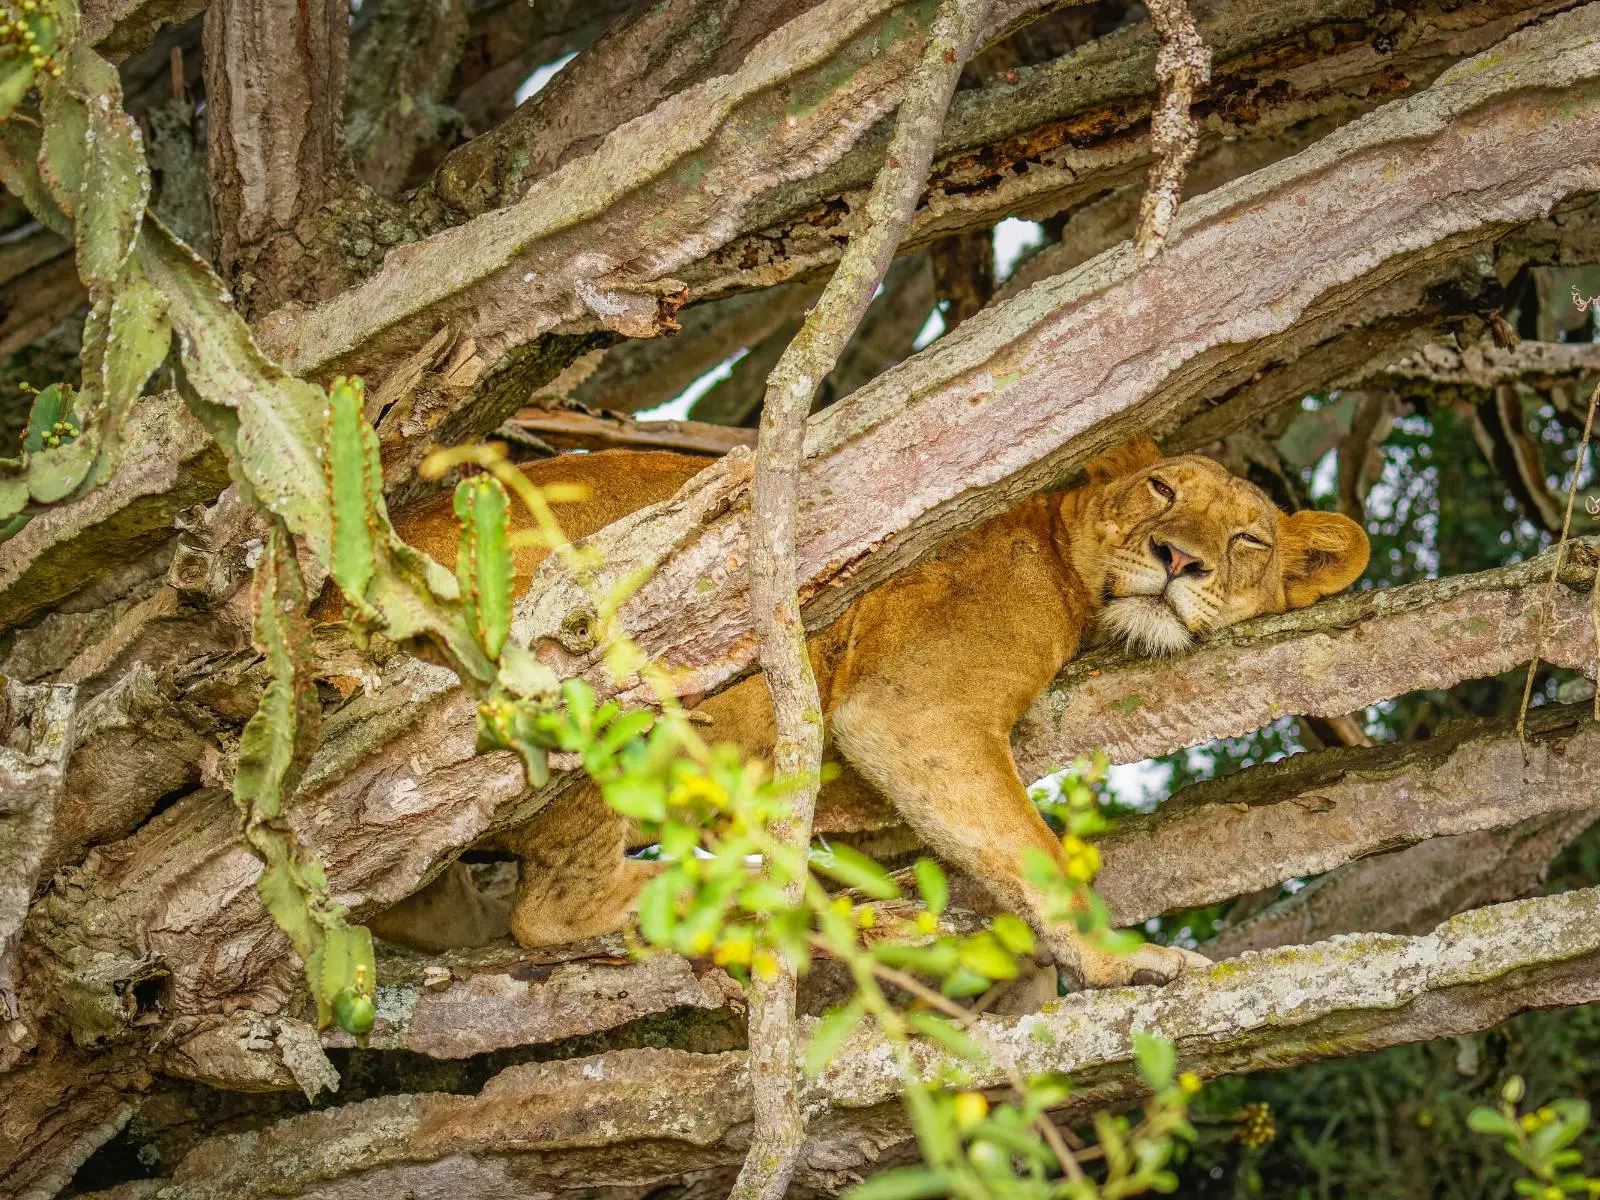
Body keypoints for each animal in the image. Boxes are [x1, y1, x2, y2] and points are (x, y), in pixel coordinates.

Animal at [337, 437, 1368, 989]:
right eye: (1161, 490)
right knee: (551, 911)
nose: (1178, 559)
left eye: (1247, 540)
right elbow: (1029, 850)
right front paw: (1122, 963)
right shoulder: (912, 705)